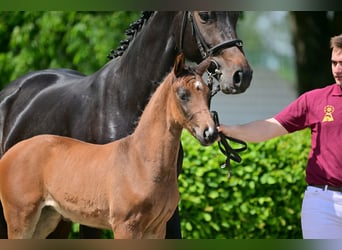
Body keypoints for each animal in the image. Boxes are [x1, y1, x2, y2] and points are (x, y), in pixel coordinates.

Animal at [0, 11, 252, 238]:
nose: (241, 75)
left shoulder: (162, 222)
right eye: (205, 16)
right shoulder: (120, 224)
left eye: (236, 15)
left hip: (51, 219)